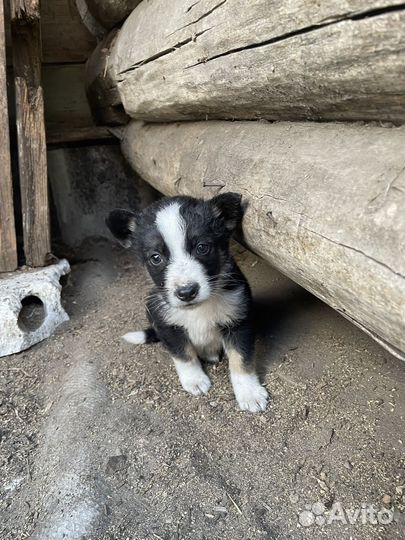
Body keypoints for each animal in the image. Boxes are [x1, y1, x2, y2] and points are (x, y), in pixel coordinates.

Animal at [105, 194, 266, 414]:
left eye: (202, 248)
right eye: (156, 258)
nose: (187, 292)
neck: (200, 309)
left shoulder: (239, 320)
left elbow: (241, 359)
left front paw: (250, 393)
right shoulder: (166, 324)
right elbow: (183, 354)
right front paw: (195, 380)